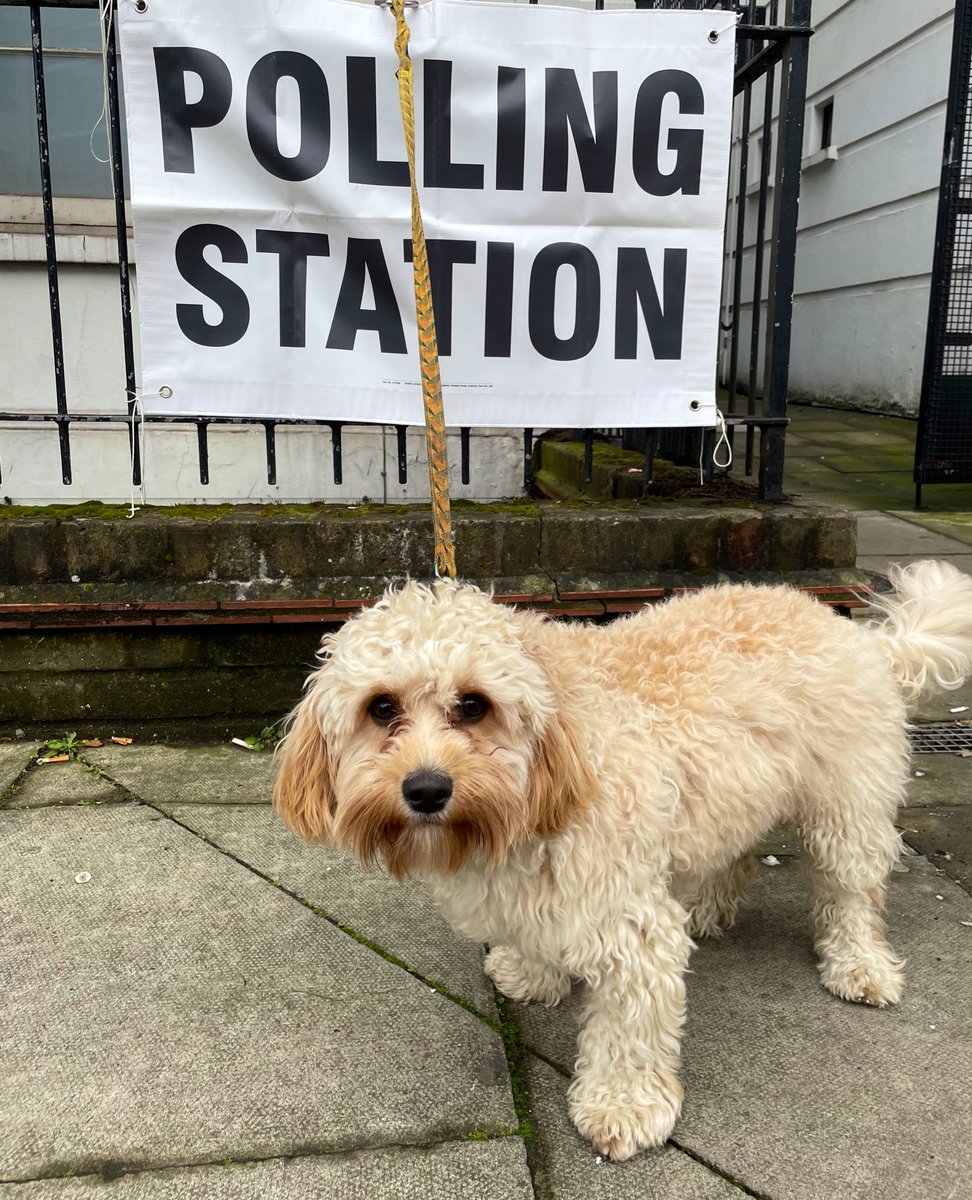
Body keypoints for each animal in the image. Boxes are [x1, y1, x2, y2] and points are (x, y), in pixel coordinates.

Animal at [271, 561, 969, 1161]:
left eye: (473, 704)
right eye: (381, 707)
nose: (425, 790)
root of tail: (860, 634)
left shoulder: (628, 921)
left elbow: (629, 1028)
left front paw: (623, 1109)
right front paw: (533, 974)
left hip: (844, 806)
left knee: (852, 891)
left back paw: (860, 966)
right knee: (738, 855)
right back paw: (709, 906)